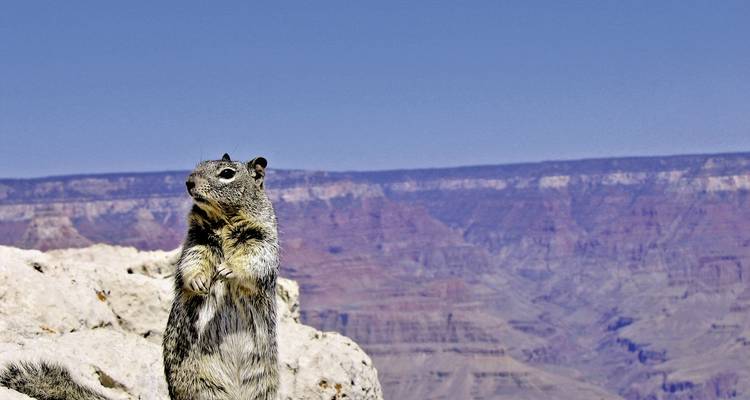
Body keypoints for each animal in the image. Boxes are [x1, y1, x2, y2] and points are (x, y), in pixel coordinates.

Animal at [0, 153, 280, 400]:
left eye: (227, 173)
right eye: (198, 166)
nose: (189, 182)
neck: (222, 221)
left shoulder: (262, 238)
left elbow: (255, 259)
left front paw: (228, 269)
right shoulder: (197, 240)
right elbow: (192, 261)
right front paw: (199, 281)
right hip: (202, 385)